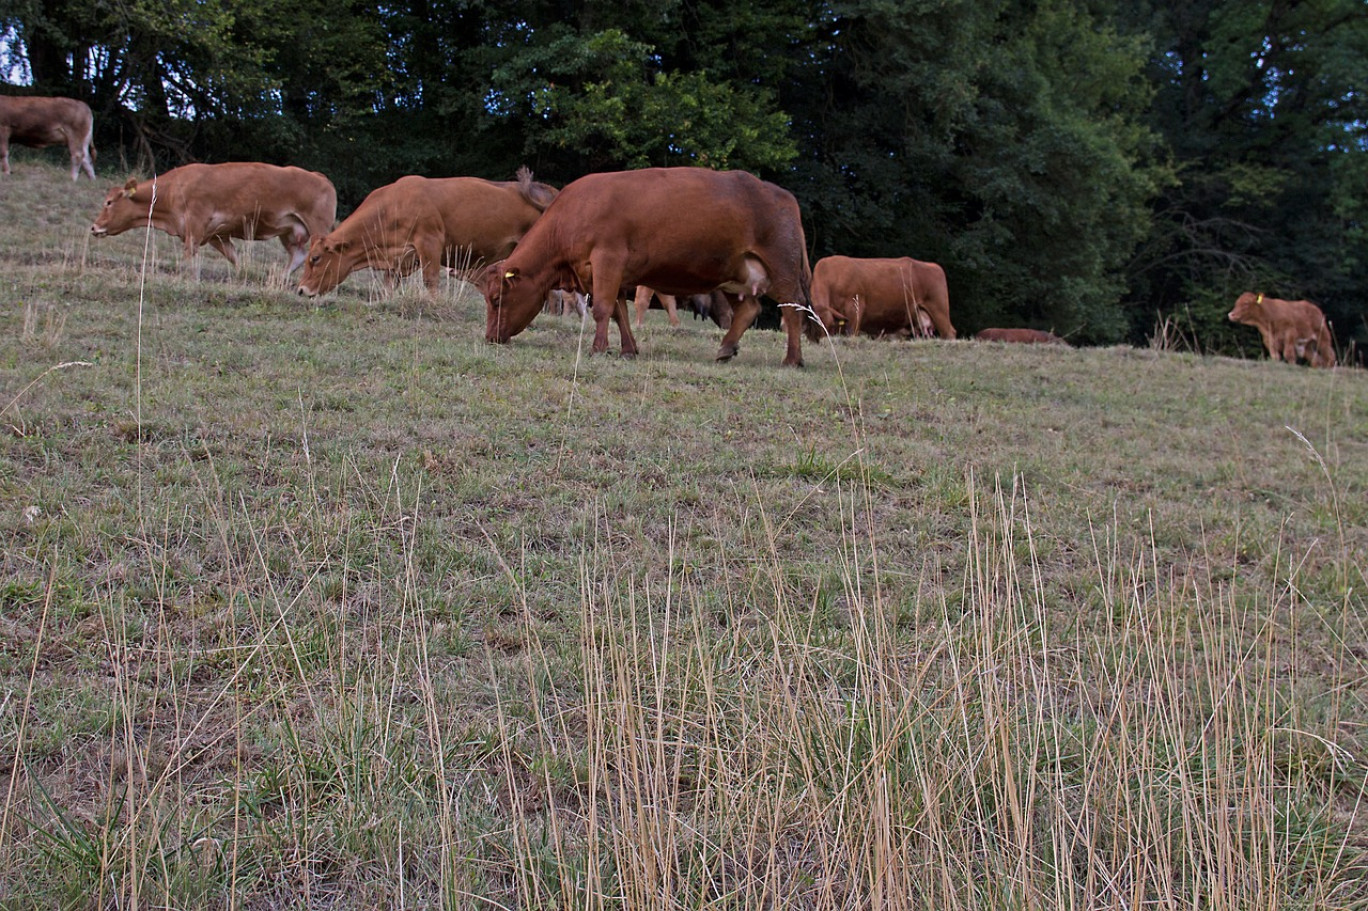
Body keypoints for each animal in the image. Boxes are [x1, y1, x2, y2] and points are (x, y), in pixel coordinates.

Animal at [91, 161, 336, 270]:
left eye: (109, 202)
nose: (94, 227)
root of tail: (319, 176)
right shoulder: (217, 235)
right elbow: (234, 258)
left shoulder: (195, 225)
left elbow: (189, 256)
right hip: (289, 232)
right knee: (298, 256)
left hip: (318, 226)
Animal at [296, 168, 558, 296]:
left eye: (315, 258)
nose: (300, 289)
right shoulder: (400, 258)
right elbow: (389, 283)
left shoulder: (429, 242)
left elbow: (430, 280)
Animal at [484, 166, 809, 366]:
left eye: (497, 298)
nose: (490, 338)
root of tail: (780, 193)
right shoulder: (606, 273)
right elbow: (619, 313)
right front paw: (628, 349)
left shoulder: (607, 258)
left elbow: (602, 308)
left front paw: (597, 348)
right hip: (734, 272)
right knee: (749, 308)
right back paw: (725, 349)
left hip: (782, 267)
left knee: (793, 309)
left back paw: (792, 359)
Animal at [804, 253, 957, 339]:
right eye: (814, 326)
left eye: (828, 325)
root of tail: (933, 265)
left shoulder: (855, 309)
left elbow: (851, 331)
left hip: (939, 309)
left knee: (949, 332)